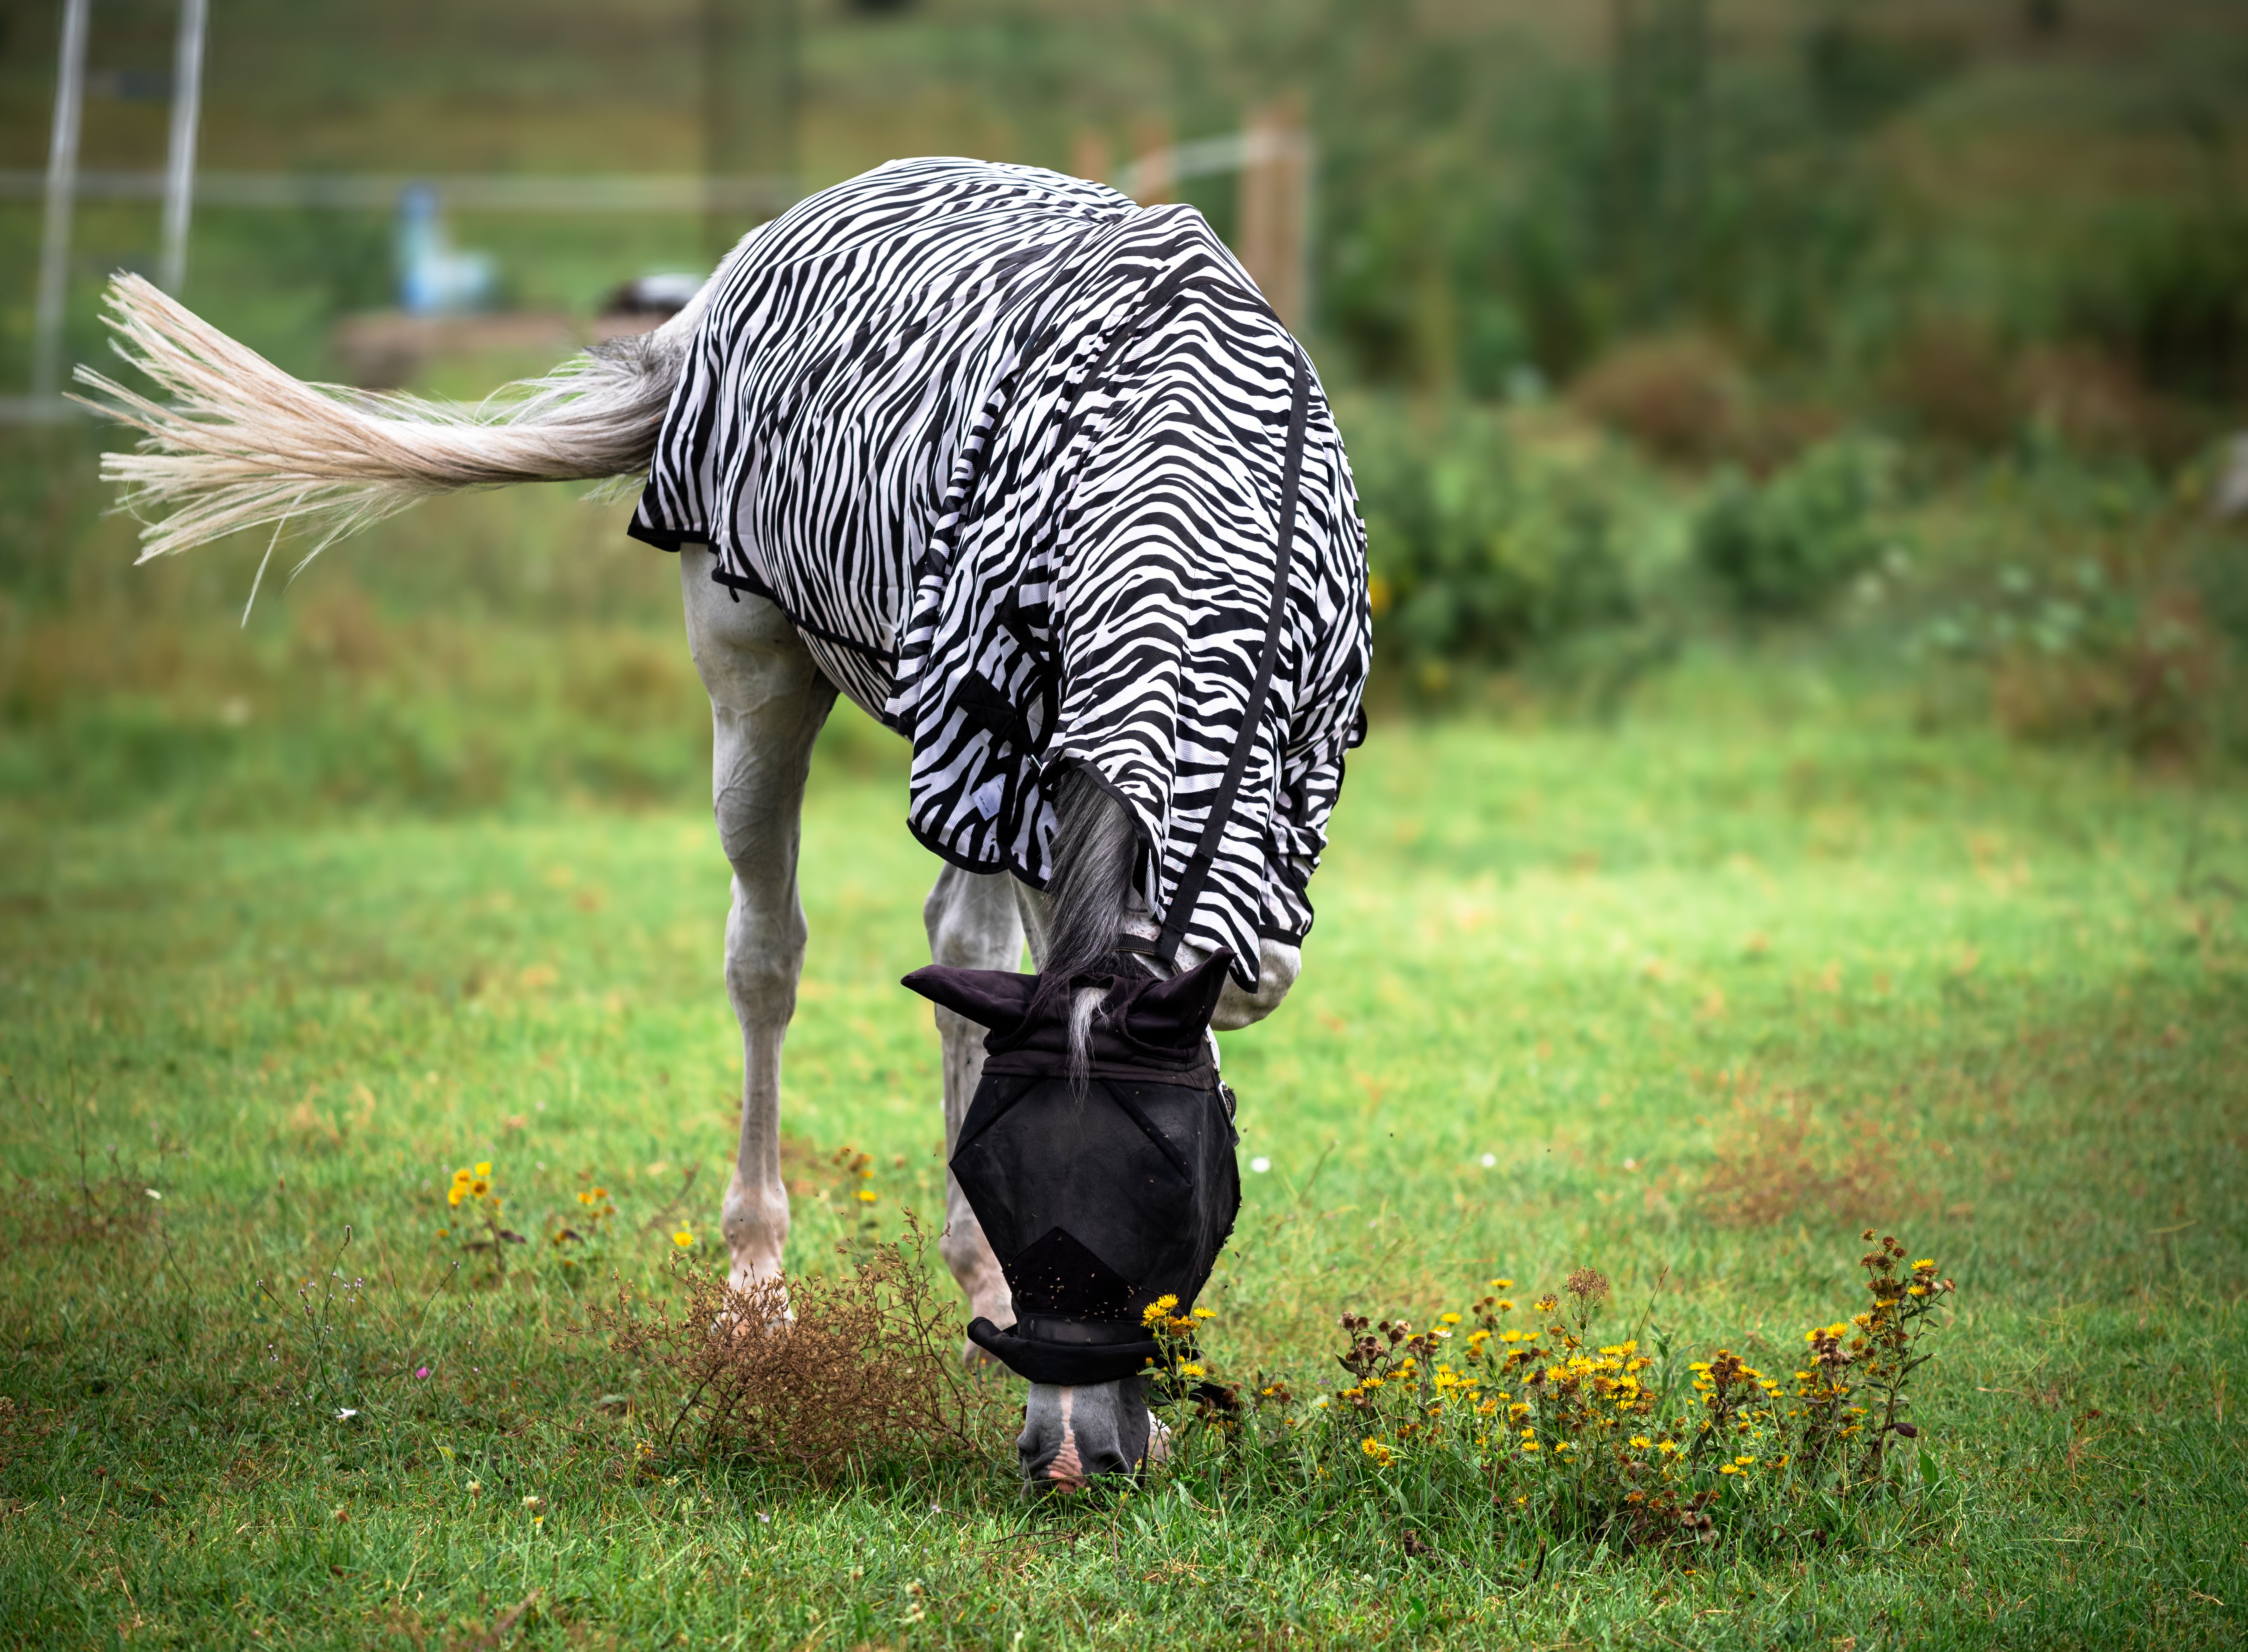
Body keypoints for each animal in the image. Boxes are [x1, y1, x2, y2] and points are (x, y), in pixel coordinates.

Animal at [77, 157, 1372, 1490]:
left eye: (1168, 1195)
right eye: (1004, 1176)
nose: (1071, 1458)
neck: (1178, 489)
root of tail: (728, 278)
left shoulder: (1241, 788)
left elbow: (1194, 991)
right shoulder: (1006, 742)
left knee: (962, 942)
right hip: (756, 682)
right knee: (770, 956)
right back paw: (759, 1292)